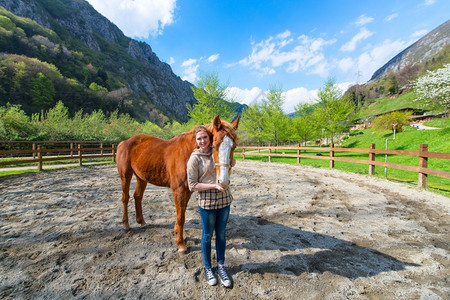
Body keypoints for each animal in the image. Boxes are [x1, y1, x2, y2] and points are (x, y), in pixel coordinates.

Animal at [118, 115, 241, 253]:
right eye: (214, 145)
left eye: (234, 146)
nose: (223, 181)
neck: (187, 154)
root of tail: (123, 142)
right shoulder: (178, 191)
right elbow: (181, 217)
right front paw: (181, 245)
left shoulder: (188, 191)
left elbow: (182, 215)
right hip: (125, 176)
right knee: (125, 198)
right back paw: (126, 224)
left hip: (141, 178)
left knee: (138, 196)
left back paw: (142, 222)